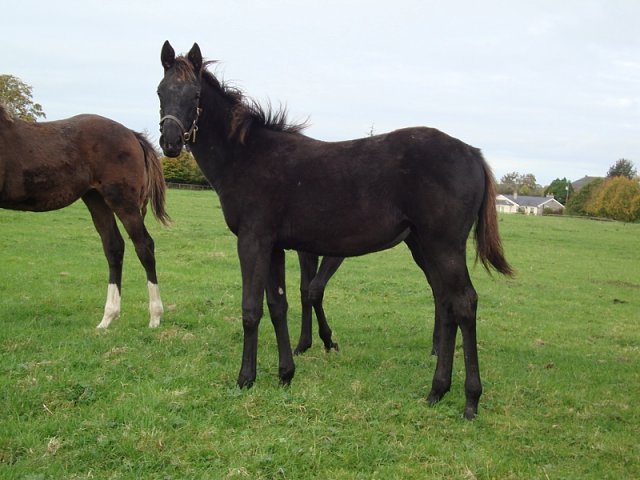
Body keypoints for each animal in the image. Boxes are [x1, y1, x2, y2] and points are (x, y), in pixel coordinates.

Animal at [0, 101, 170, 326]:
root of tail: (132, 134)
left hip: (123, 201)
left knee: (144, 246)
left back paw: (155, 317)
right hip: (95, 198)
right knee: (114, 247)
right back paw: (107, 319)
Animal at [158, 42, 512, 420]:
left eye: (195, 94)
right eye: (161, 91)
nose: (170, 142)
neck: (246, 155)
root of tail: (472, 153)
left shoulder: (253, 241)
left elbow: (251, 309)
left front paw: (245, 379)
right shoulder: (275, 246)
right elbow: (278, 305)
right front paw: (285, 374)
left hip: (444, 245)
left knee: (464, 303)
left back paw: (470, 400)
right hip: (423, 245)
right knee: (445, 303)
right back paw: (437, 391)